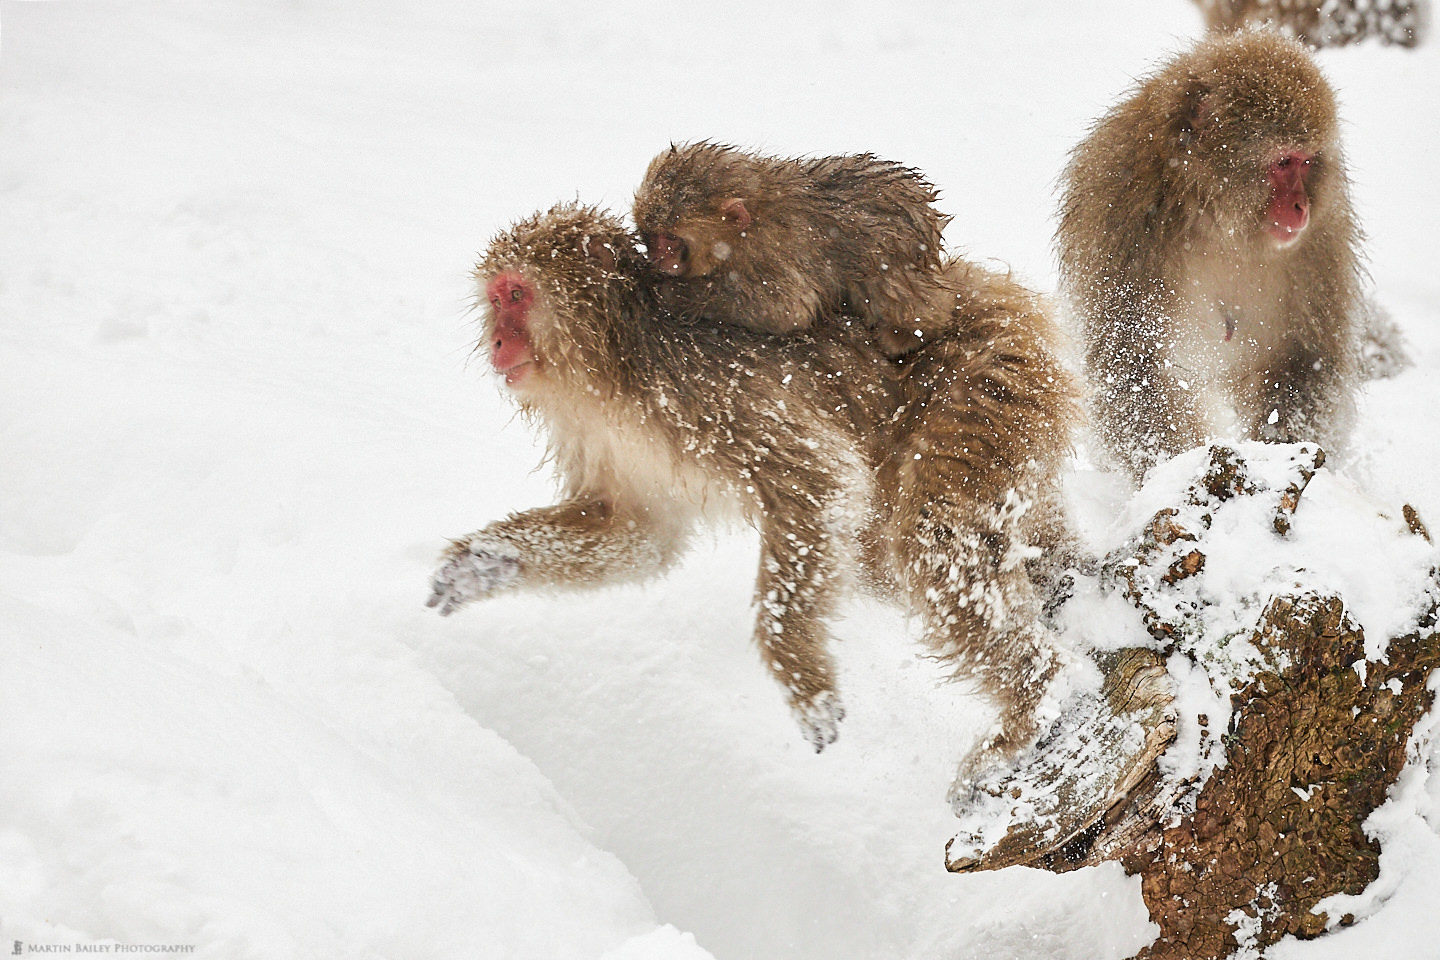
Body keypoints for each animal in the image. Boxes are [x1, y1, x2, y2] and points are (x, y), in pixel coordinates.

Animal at [426, 202, 1082, 794]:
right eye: (496, 299)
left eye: (516, 295)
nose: (497, 340)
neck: (615, 362)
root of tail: (1000, 294)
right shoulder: (603, 433)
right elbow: (637, 533)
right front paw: (483, 561)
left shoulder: (706, 391)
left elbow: (819, 485)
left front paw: (803, 678)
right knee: (895, 554)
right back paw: (1071, 592)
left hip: (979, 383)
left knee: (926, 543)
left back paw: (1040, 703)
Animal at [1059, 30, 1359, 480]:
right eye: (1283, 162)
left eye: (1307, 162)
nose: (1301, 207)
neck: (1218, 220)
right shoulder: (1125, 219)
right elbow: (1134, 363)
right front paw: (1177, 469)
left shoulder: (1322, 240)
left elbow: (1306, 360)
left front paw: (1283, 451)